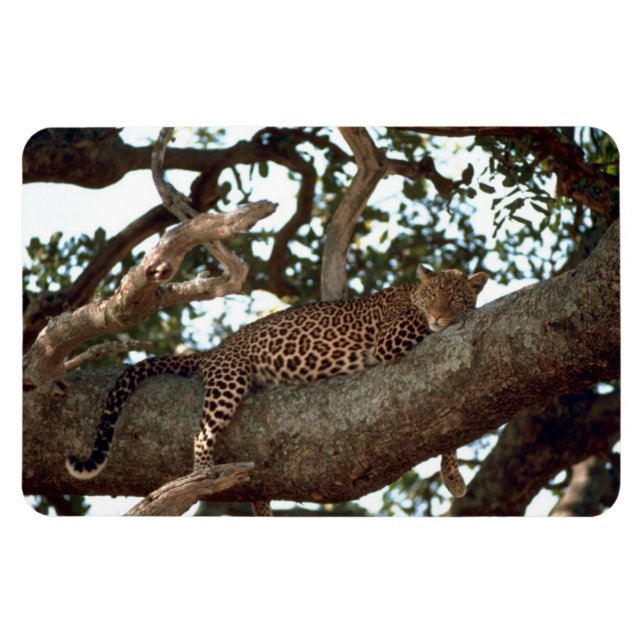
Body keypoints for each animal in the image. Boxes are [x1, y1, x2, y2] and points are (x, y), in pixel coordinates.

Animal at [66, 265, 488, 515]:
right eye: (432, 295)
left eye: (455, 297)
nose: (440, 315)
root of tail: (215, 350)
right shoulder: (392, 338)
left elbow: (450, 432)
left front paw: (453, 476)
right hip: (229, 379)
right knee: (201, 433)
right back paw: (201, 478)